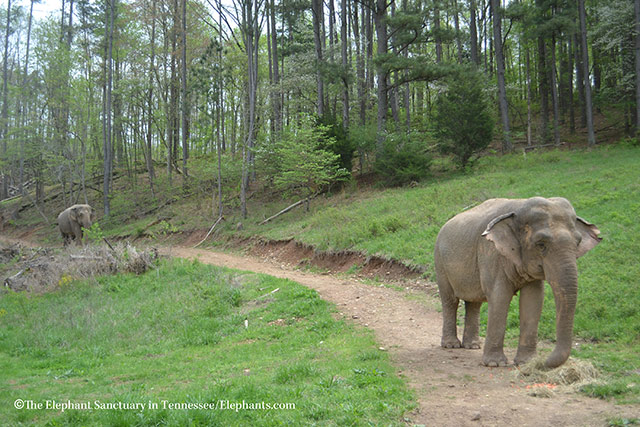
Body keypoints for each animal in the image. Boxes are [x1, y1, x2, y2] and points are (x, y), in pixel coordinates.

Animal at [432, 197, 604, 368]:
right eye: (541, 244)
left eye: (578, 243)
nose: (542, 362)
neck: (519, 207)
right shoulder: (491, 252)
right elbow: (500, 297)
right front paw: (495, 364)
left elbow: (533, 300)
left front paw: (526, 362)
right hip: (440, 261)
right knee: (450, 300)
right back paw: (451, 345)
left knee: (474, 303)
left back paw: (472, 346)